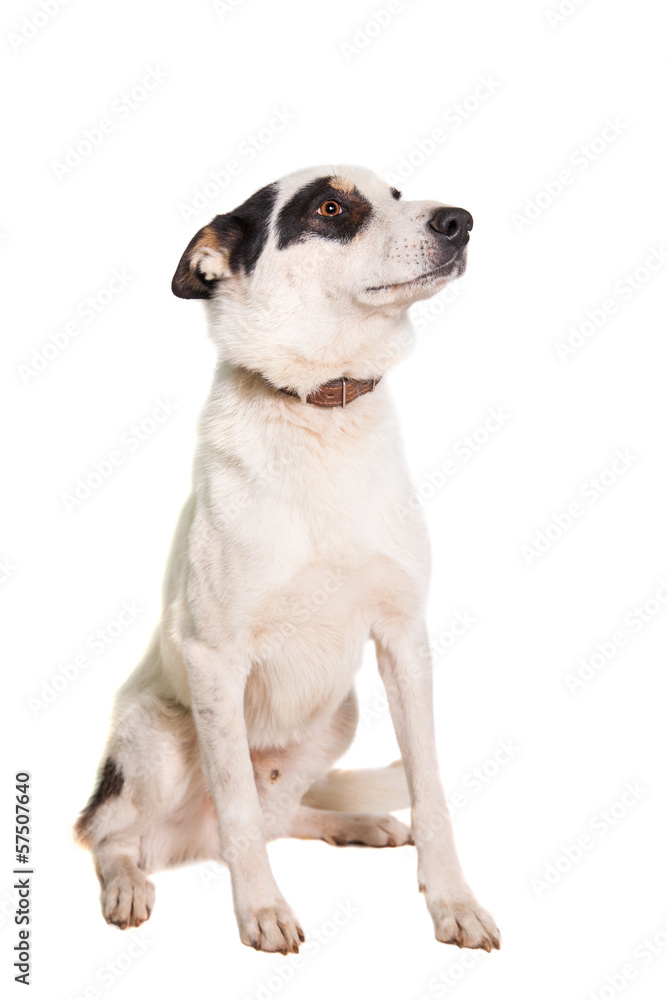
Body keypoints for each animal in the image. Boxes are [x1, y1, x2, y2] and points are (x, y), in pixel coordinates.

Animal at [73, 162, 500, 952]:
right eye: (330, 208)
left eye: (398, 196)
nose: (459, 221)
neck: (320, 406)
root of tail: (186, 840)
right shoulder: (215, 659)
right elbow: (239, 808)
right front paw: (261, 911)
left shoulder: (405, 642)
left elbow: (428, 787)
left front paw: (452, 901)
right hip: (153, 736)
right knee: (112, 834)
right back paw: (126, 886)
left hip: (340, 716)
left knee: (279, 818)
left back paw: (356, 823)